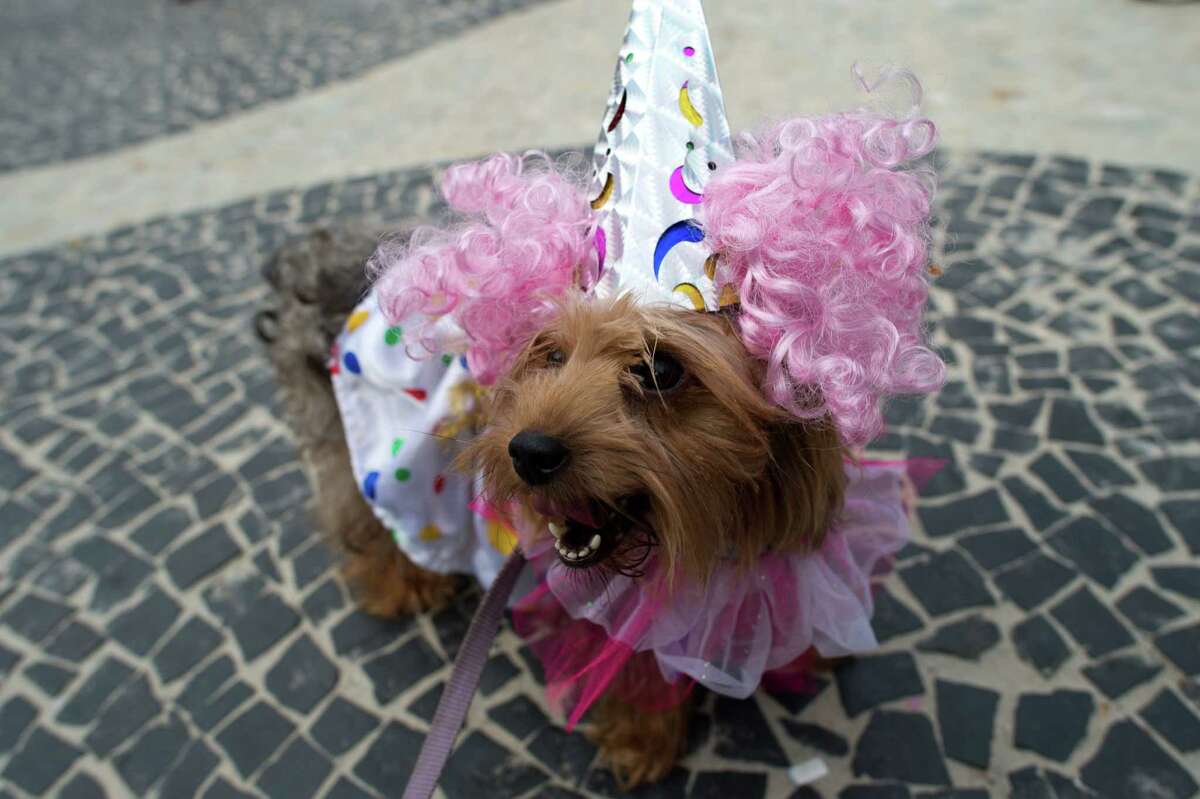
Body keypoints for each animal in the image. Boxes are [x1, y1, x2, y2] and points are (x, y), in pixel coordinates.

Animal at [259, 225, 849, 782]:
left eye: (660, 371)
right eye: (552, 354)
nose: (528, 452)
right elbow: (634, 665)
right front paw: (643, 740)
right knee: (362, 511)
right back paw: (402, 582)